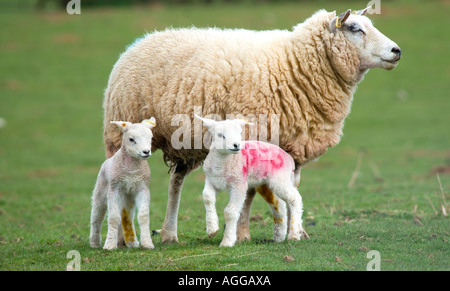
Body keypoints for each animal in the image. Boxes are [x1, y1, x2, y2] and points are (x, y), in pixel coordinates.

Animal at [89, 117, 156, 250]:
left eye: (150, 138)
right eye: (131, 139)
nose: (146, 152)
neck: (131, 171)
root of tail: (107, 161)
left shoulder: (143, 188)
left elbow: (143, 216)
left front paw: (147, 243)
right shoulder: (114, 189)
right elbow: (114, 218)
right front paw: (110, 245)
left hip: (128, 196)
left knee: (126, 216)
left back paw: (132, 242)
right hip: (101, 191)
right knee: (96, 216)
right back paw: (94, 242)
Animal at [195, 115, 304, 248]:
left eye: (240, 133)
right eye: (220, 135)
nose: (236, 145)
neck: (223, 163)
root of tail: (289, 159)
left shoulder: (239, 184)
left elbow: (230, 211)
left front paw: (227, 241)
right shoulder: (211, 180)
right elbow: (207, 197)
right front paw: (212, 229)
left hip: (280, 178)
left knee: (294, 199)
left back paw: (294, 235)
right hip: (265, 183)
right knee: (279, 204)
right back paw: (279, 236)